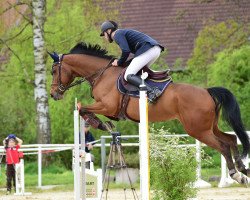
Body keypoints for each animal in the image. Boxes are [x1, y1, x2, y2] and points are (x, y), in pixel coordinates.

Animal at [49, 43, 250, 185]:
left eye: (53, 71)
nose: (53, 94)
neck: (102, 74)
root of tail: (207, 91)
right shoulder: (107, 108)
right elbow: (83, 108)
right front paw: (104, 124)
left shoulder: (107, 107)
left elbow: (83, 108)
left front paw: (101, 124)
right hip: (209, 127)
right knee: (231, 139)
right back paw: (243, 170)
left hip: (198, 130)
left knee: (223, 146)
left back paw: (236, 175)